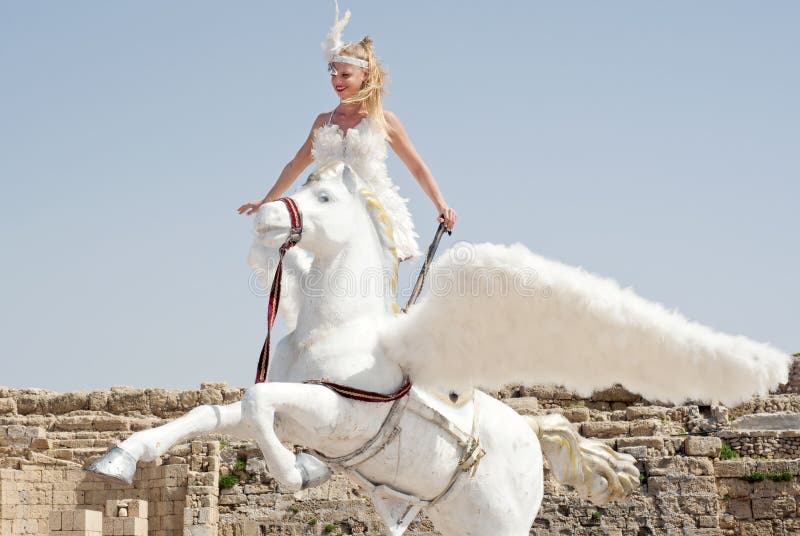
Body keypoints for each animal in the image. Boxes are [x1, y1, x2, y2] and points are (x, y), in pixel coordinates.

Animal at [86, 160, 788, 536]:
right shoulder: (296, 407)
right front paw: (118, 458)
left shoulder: (339, 412)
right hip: (461, 521)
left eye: (323, 195)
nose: (263, 216)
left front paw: (301, 474)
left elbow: (259, 403)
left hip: (502, 524)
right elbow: (215, 410)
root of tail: (533, 431)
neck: (330, 327)